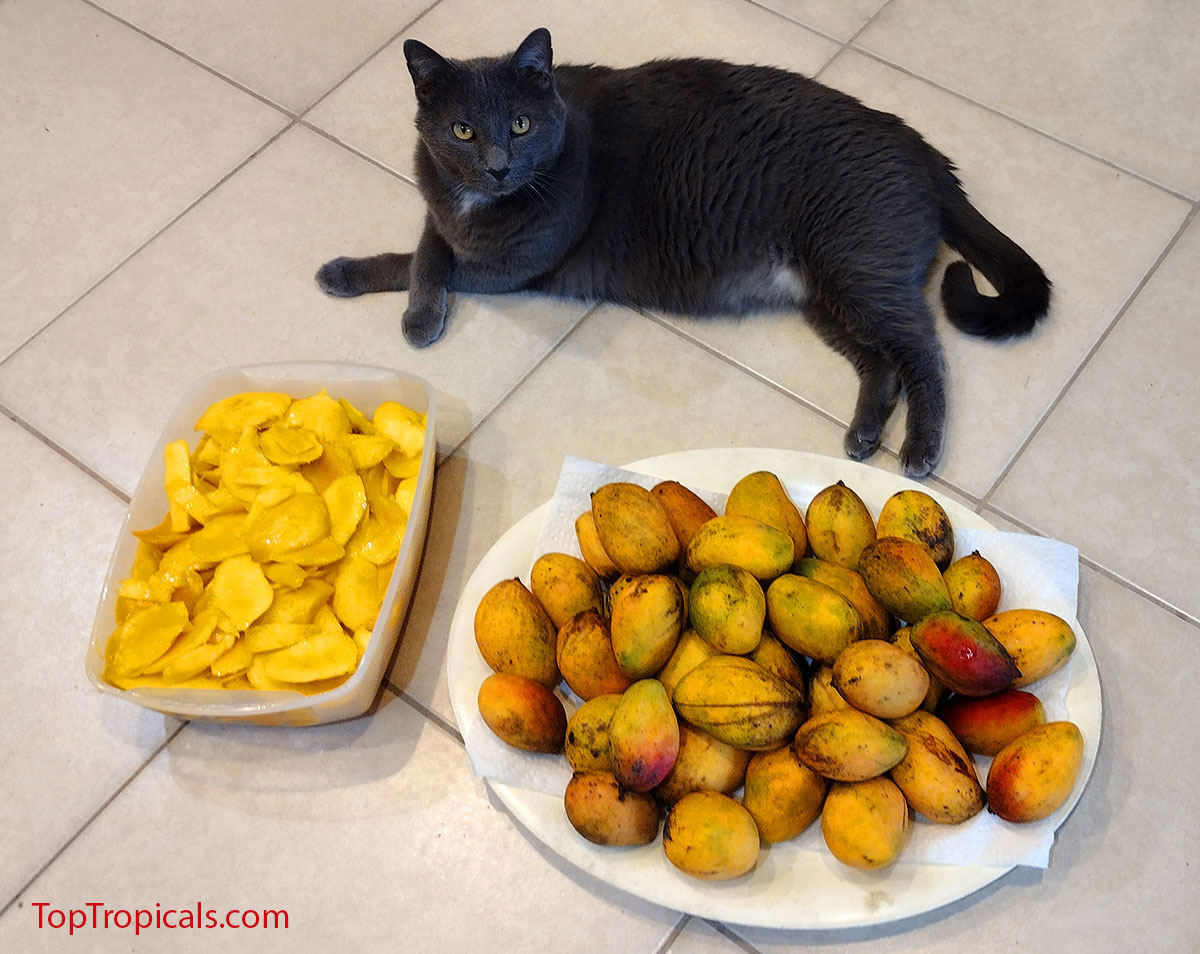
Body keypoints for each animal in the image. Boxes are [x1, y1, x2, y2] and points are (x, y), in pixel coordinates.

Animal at [316, 28, 1051, 477]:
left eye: (520, 125)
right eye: (462, 131)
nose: (497, 166)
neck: (477, 202)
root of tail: (923, 149)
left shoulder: (509, 267)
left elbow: (425, 262)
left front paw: (389, 303)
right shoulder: (441, 211)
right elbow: (425, 246)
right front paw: (360, 281)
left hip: (857, 267)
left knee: (924, 351)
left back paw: (919, 450)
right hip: (825, 295)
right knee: (881, 364)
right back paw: (864, 436)